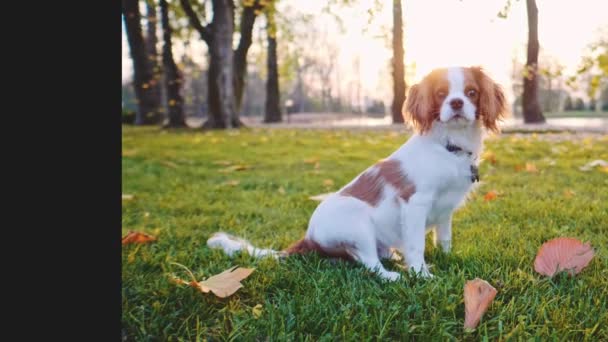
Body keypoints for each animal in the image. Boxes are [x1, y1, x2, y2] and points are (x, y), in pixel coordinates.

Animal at [209, 66, 508, 280]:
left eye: (471, 92)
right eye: (441, 93)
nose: (456, 103)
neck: (449, 145)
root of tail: (309, 236)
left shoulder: (446, 209)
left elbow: (444, 237)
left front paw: (446, 257)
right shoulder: (415, 203)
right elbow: (416, 245)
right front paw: (422, 274)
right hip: (357, 220)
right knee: (368, 262)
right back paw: (393, 275)